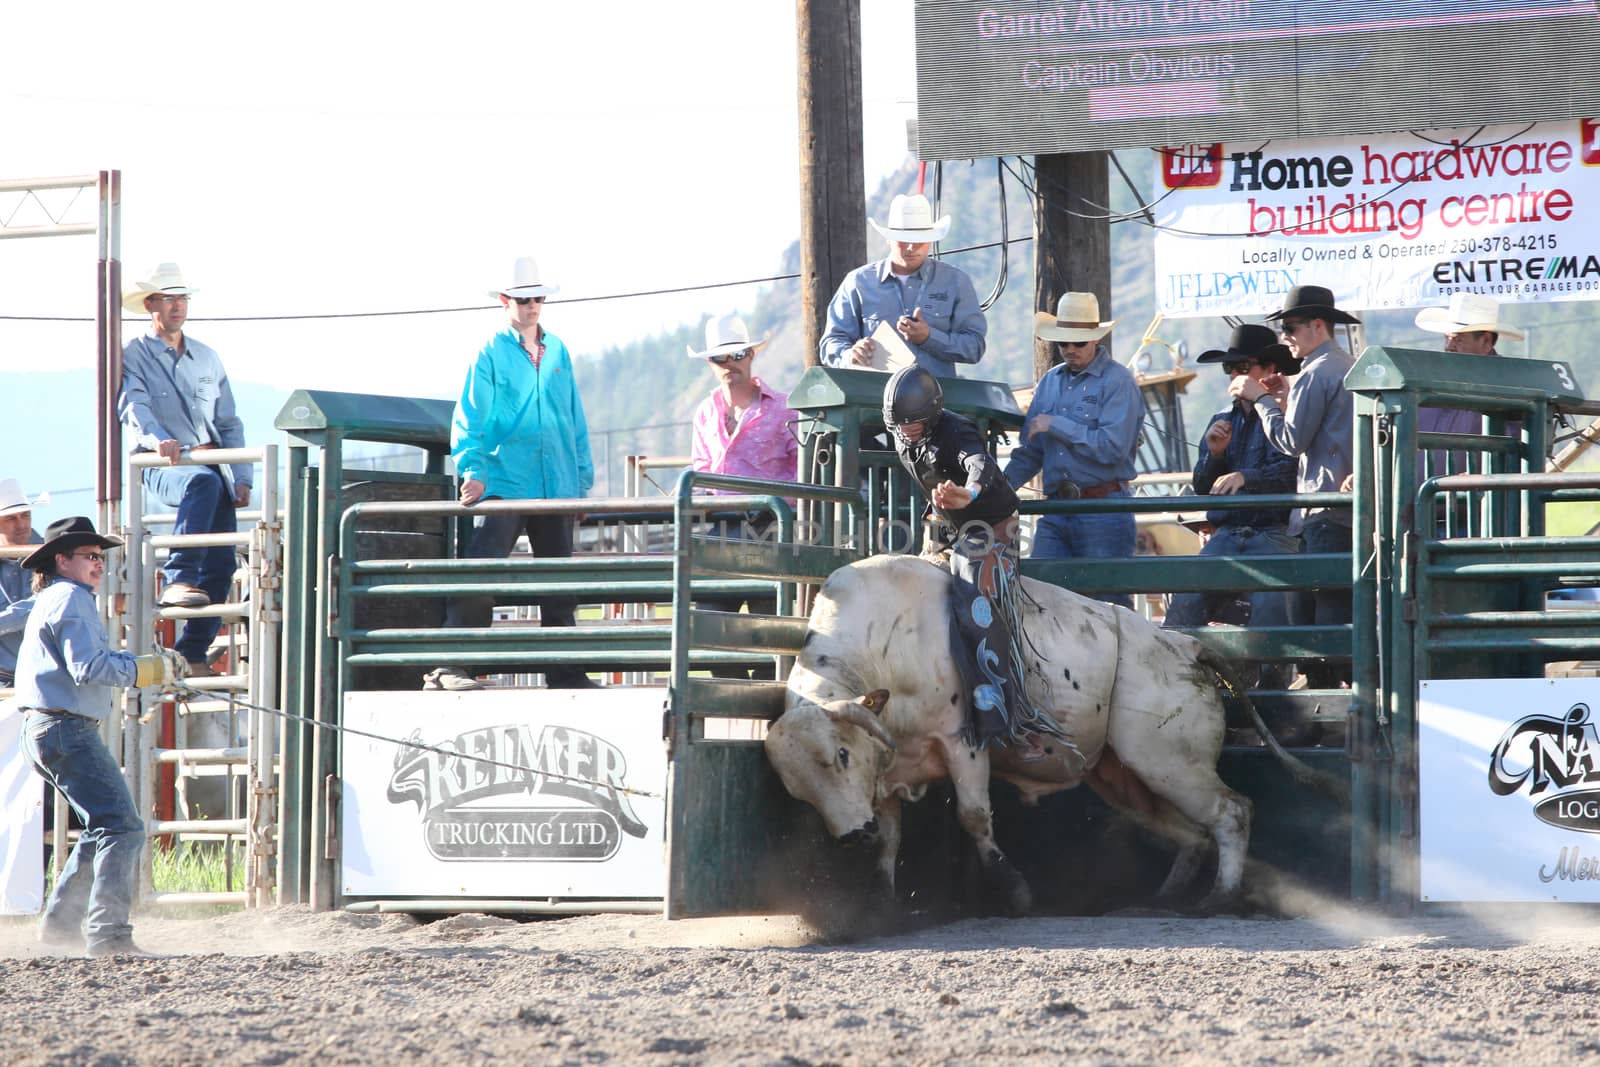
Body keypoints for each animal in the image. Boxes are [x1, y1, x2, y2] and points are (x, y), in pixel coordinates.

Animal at [764, 556, 1324, 915]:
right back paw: (1163, 899)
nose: (851, 835)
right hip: (1127, 778)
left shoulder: (963, 743)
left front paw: (1014, 892)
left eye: (840, 754)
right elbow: (890, 837)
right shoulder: (885, 768)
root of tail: (1189, 647)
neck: (886, 637)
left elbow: (973, 816)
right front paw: (880, 902)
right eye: (798, 792)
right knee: (1192, 833)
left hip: (1169, 761)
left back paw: (1218, 899)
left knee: (1231, 812)